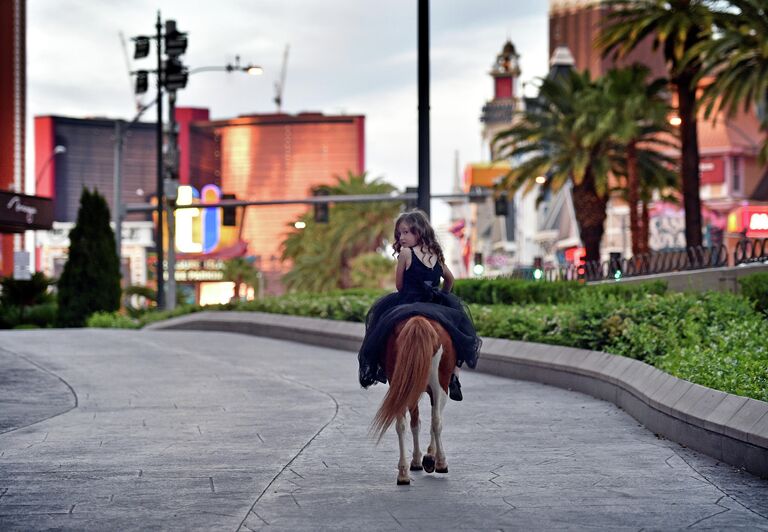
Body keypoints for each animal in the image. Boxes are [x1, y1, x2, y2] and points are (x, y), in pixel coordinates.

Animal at [368, 316, 452, 486]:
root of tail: (418, 320)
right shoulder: (440, 390)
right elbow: (434, 421)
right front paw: (430, 457)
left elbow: (415, 423)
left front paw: (418, 460)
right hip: (439, 381)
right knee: (436, 420)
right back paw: (441, 462)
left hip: (401, 381)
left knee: (401, 424)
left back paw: (403, 473)